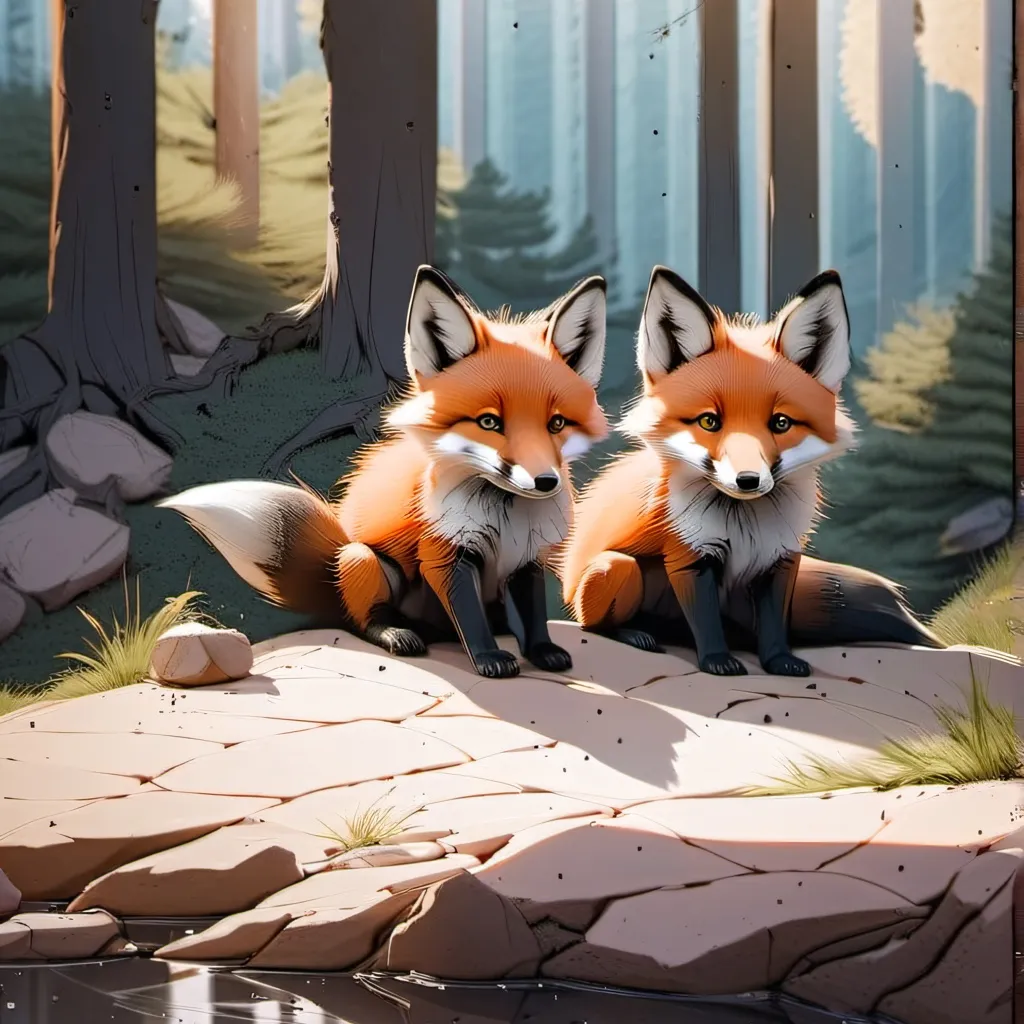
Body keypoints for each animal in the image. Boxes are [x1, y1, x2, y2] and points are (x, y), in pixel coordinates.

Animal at [159, 265, 610, 679]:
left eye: (556, 424)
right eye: (489, 423)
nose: (545, 482)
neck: (503, 519)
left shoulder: (527, 559)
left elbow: (533, 615)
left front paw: (541, 651)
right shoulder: (445, 556)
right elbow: (471, 620)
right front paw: (488, 660)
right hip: (364, 560)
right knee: (363, 622)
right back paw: (397, 634)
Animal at [558, 265, 943, 678]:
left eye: (780, 423)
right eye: (709, 421)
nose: (747, 480)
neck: (745, 529)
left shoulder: (781, 559)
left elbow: (774, 623)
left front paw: (779, 661)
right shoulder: (689, 555)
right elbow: (706, 621)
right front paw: (716, 661)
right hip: (615, 569)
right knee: (593, 623)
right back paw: (635, 634)